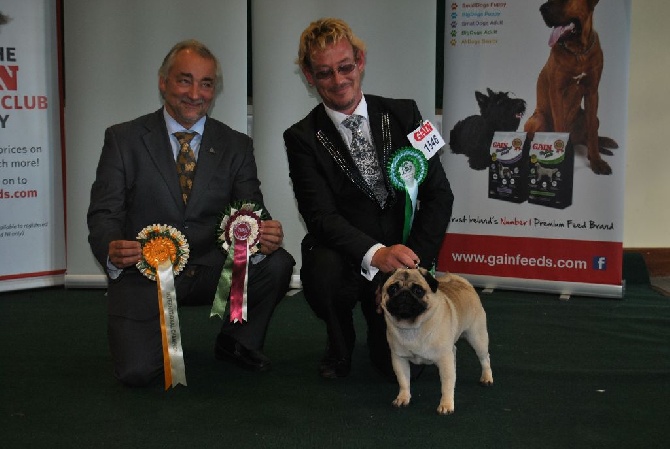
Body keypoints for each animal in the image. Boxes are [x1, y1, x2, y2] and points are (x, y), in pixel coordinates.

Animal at [384, 266, 494, 412]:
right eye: (392, 289)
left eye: (418, 290)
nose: (404, 294)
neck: (411, 327)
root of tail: (463, 283)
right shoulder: (399, 359)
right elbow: (403, 381)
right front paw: (403, 398)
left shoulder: (444, 357)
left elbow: (446, 385)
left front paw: (446, 405)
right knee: (454, 352)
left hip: (477, 337)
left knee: (484, 358)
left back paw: (487, 378)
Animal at [524, 0, 620, 175]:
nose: (541, 9)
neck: (578, 51)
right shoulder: (556, 92)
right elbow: (560, 125)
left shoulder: (592, 92)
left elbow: (592, 132)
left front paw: (597, 161)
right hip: (537, 119)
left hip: (592, 118)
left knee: (588, 136)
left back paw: (604, 146)